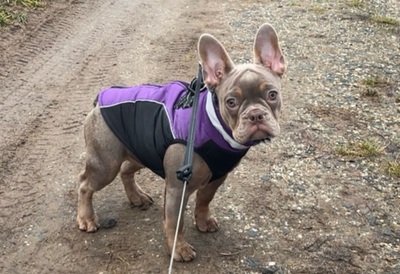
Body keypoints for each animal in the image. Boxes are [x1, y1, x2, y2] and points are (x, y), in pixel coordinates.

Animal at [77, 23, 284, 262]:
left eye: (272, 95)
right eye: (231, 102)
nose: (256, 115)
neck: (213, 124)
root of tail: (99, 100)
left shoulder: (217, 177)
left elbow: (204, 200)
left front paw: (203, 221)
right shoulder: (178, 187)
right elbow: (175, 221)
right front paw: (178, 249)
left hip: (140, 149)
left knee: (126, 170)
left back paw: (137, 197)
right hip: (105, 164)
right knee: (85, 184)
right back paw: (87, 218)